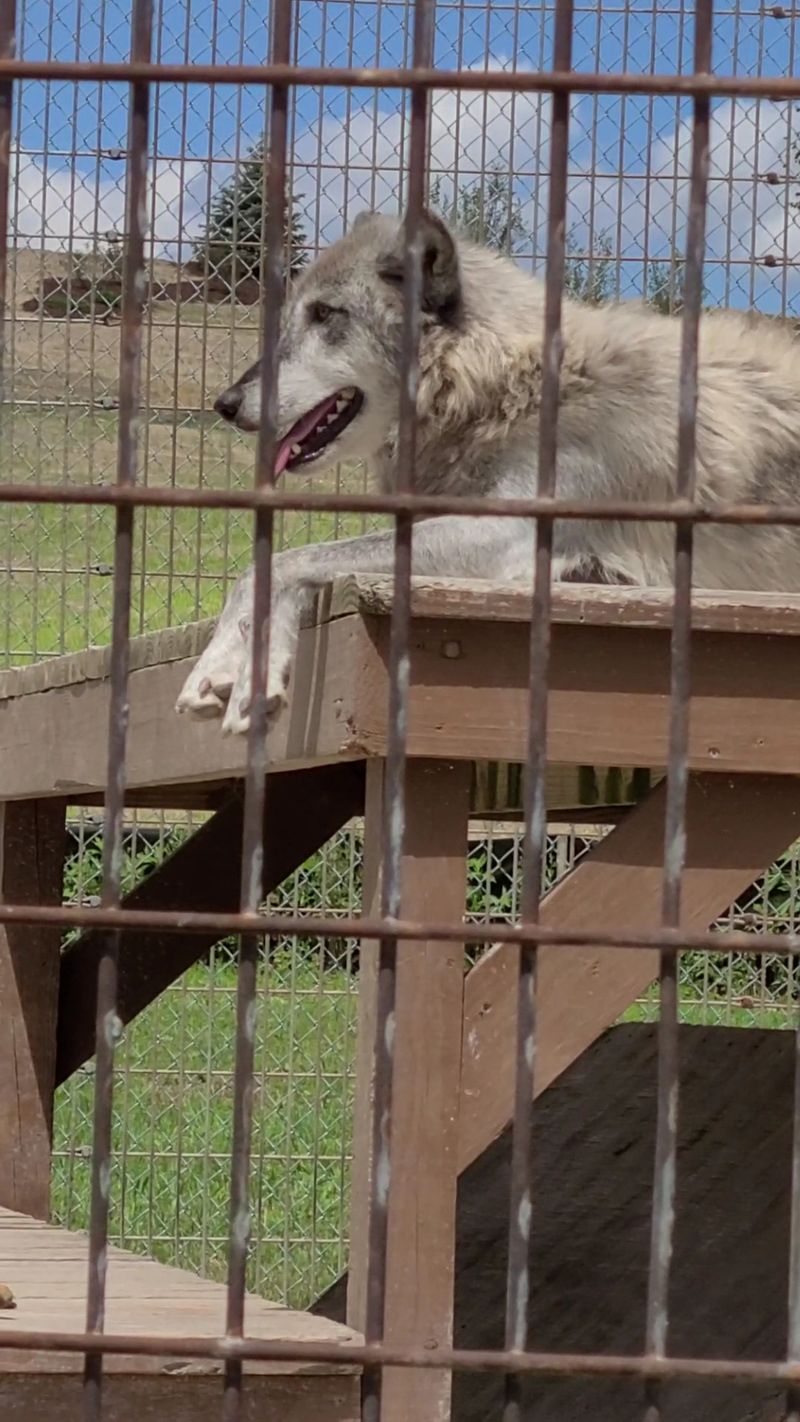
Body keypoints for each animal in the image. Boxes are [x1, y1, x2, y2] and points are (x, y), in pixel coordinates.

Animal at [176, 208, 800, 737]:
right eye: (291, 319)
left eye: (324, 315)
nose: (225, 404)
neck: (503, 386)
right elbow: (265, 566)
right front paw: (216, 668)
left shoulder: (509, 530)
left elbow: (288, 561)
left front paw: (252, 679)